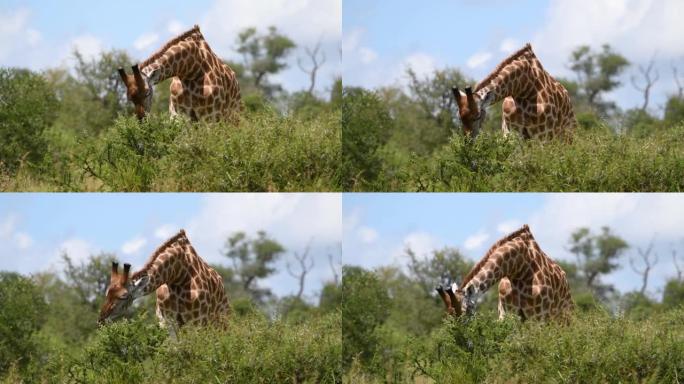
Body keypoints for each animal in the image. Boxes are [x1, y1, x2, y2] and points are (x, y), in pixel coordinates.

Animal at [99, 230, 231, 334]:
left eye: (124, 295)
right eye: (107, 293)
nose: (101, 319)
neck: (177, 275)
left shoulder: (196, 321)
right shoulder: (167, 322)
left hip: (220, 320)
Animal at [436, 224, 576, 322]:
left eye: (464, 313)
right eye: (448, 316)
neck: (519, 269)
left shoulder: (538, 316)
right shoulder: (506, 314)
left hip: (563, 315)